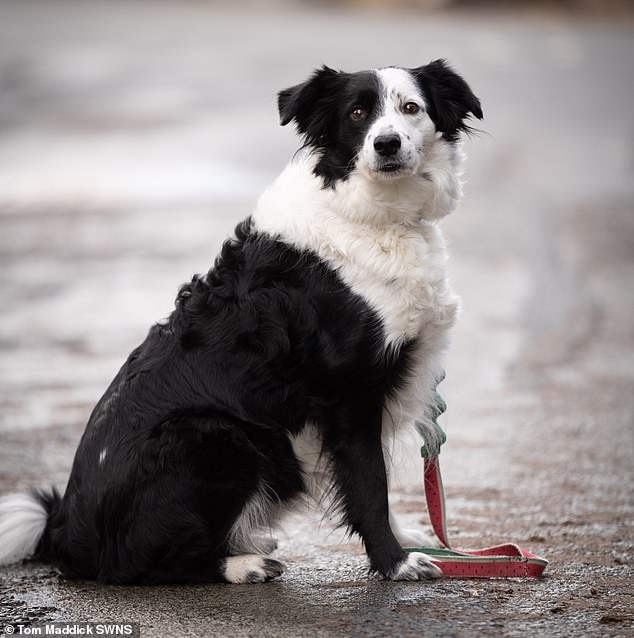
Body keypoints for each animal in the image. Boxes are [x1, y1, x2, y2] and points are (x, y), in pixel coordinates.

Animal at [0, 60, 478, 584]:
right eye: (357, 113)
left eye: (411, 107)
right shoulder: (349, 396)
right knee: (140, 562)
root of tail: (66, 528)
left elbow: (374, 482)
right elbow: (370, 484)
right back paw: (242, 563)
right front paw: (394, 562)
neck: (375, 213)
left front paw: (402, 544)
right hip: (215, 436)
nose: (387, 144)